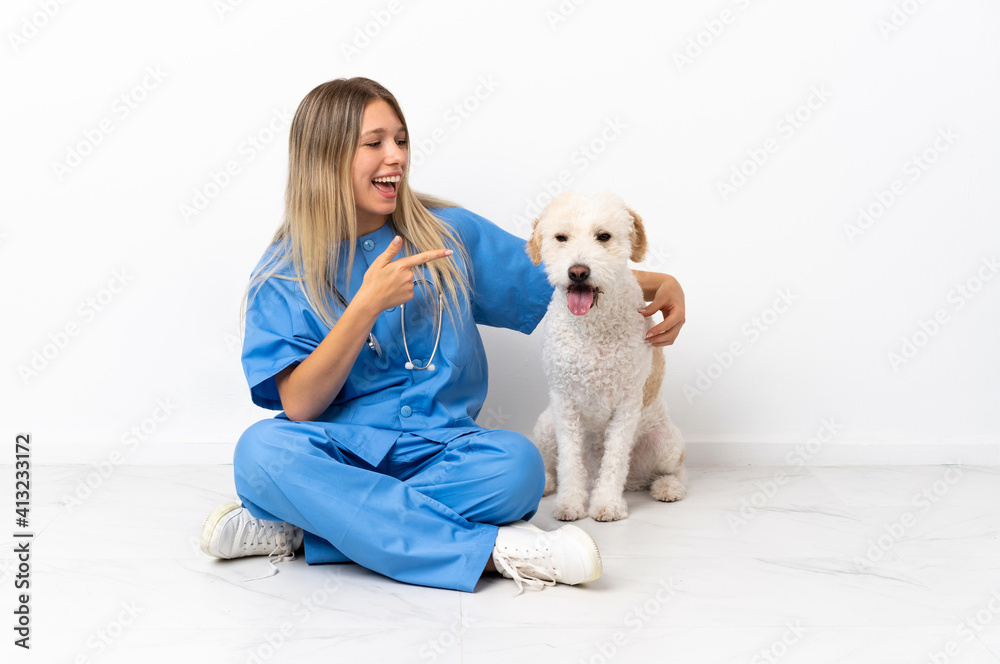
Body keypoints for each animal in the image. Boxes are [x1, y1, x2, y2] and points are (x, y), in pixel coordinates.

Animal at [528, 189, 684, 520]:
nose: (578, 271)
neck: (593, 327)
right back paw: (546, 482)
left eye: (603, 236)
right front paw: (570, 503)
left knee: (674, 470)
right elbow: (569, 462)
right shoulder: (564, 404)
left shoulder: (626, 405)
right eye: (561, 237)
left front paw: (607, 504)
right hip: (546, 426)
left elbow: (614, 460)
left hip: (666, 442)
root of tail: (635, 481)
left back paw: (668, 487)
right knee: (554, 464)